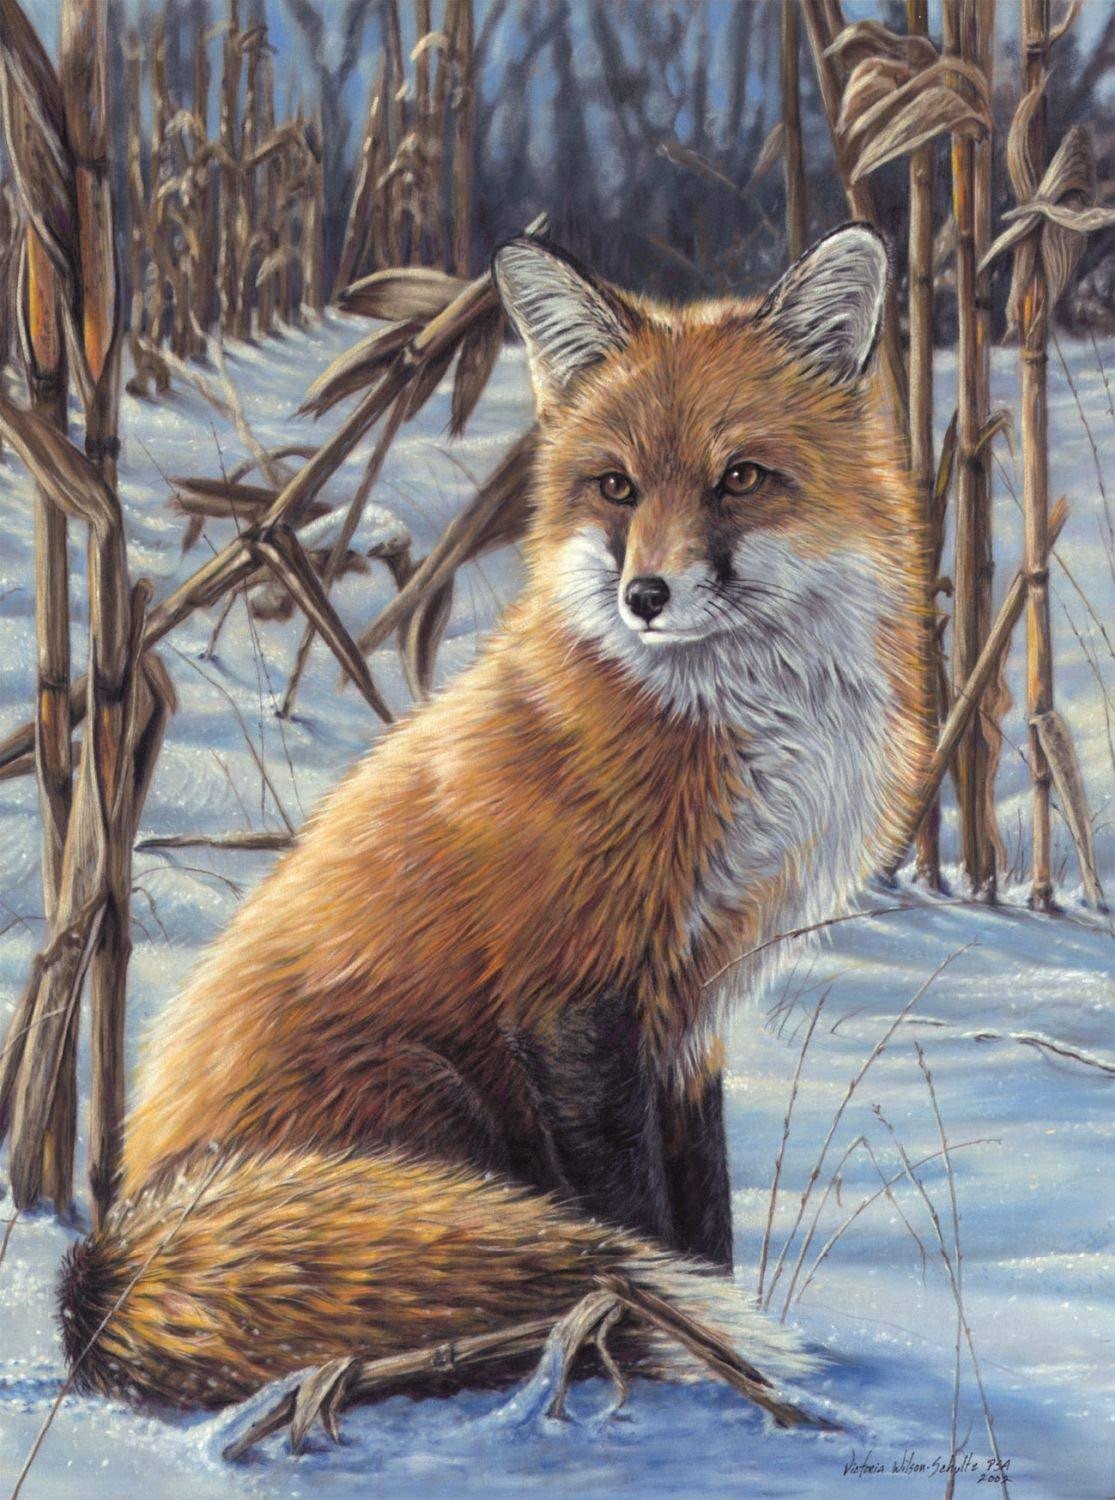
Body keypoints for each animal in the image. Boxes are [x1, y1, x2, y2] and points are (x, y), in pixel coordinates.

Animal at [58, 224, 926, 1411]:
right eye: (614, 488)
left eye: (740, 479)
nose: (644, 596)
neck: (730, 724)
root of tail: (113, 1251)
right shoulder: (573, 999)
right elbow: (634, 1218)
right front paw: (689, 1354)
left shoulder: (692, 1008)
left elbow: (703, 1217)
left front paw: (717, 1339)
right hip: (430, 1096)